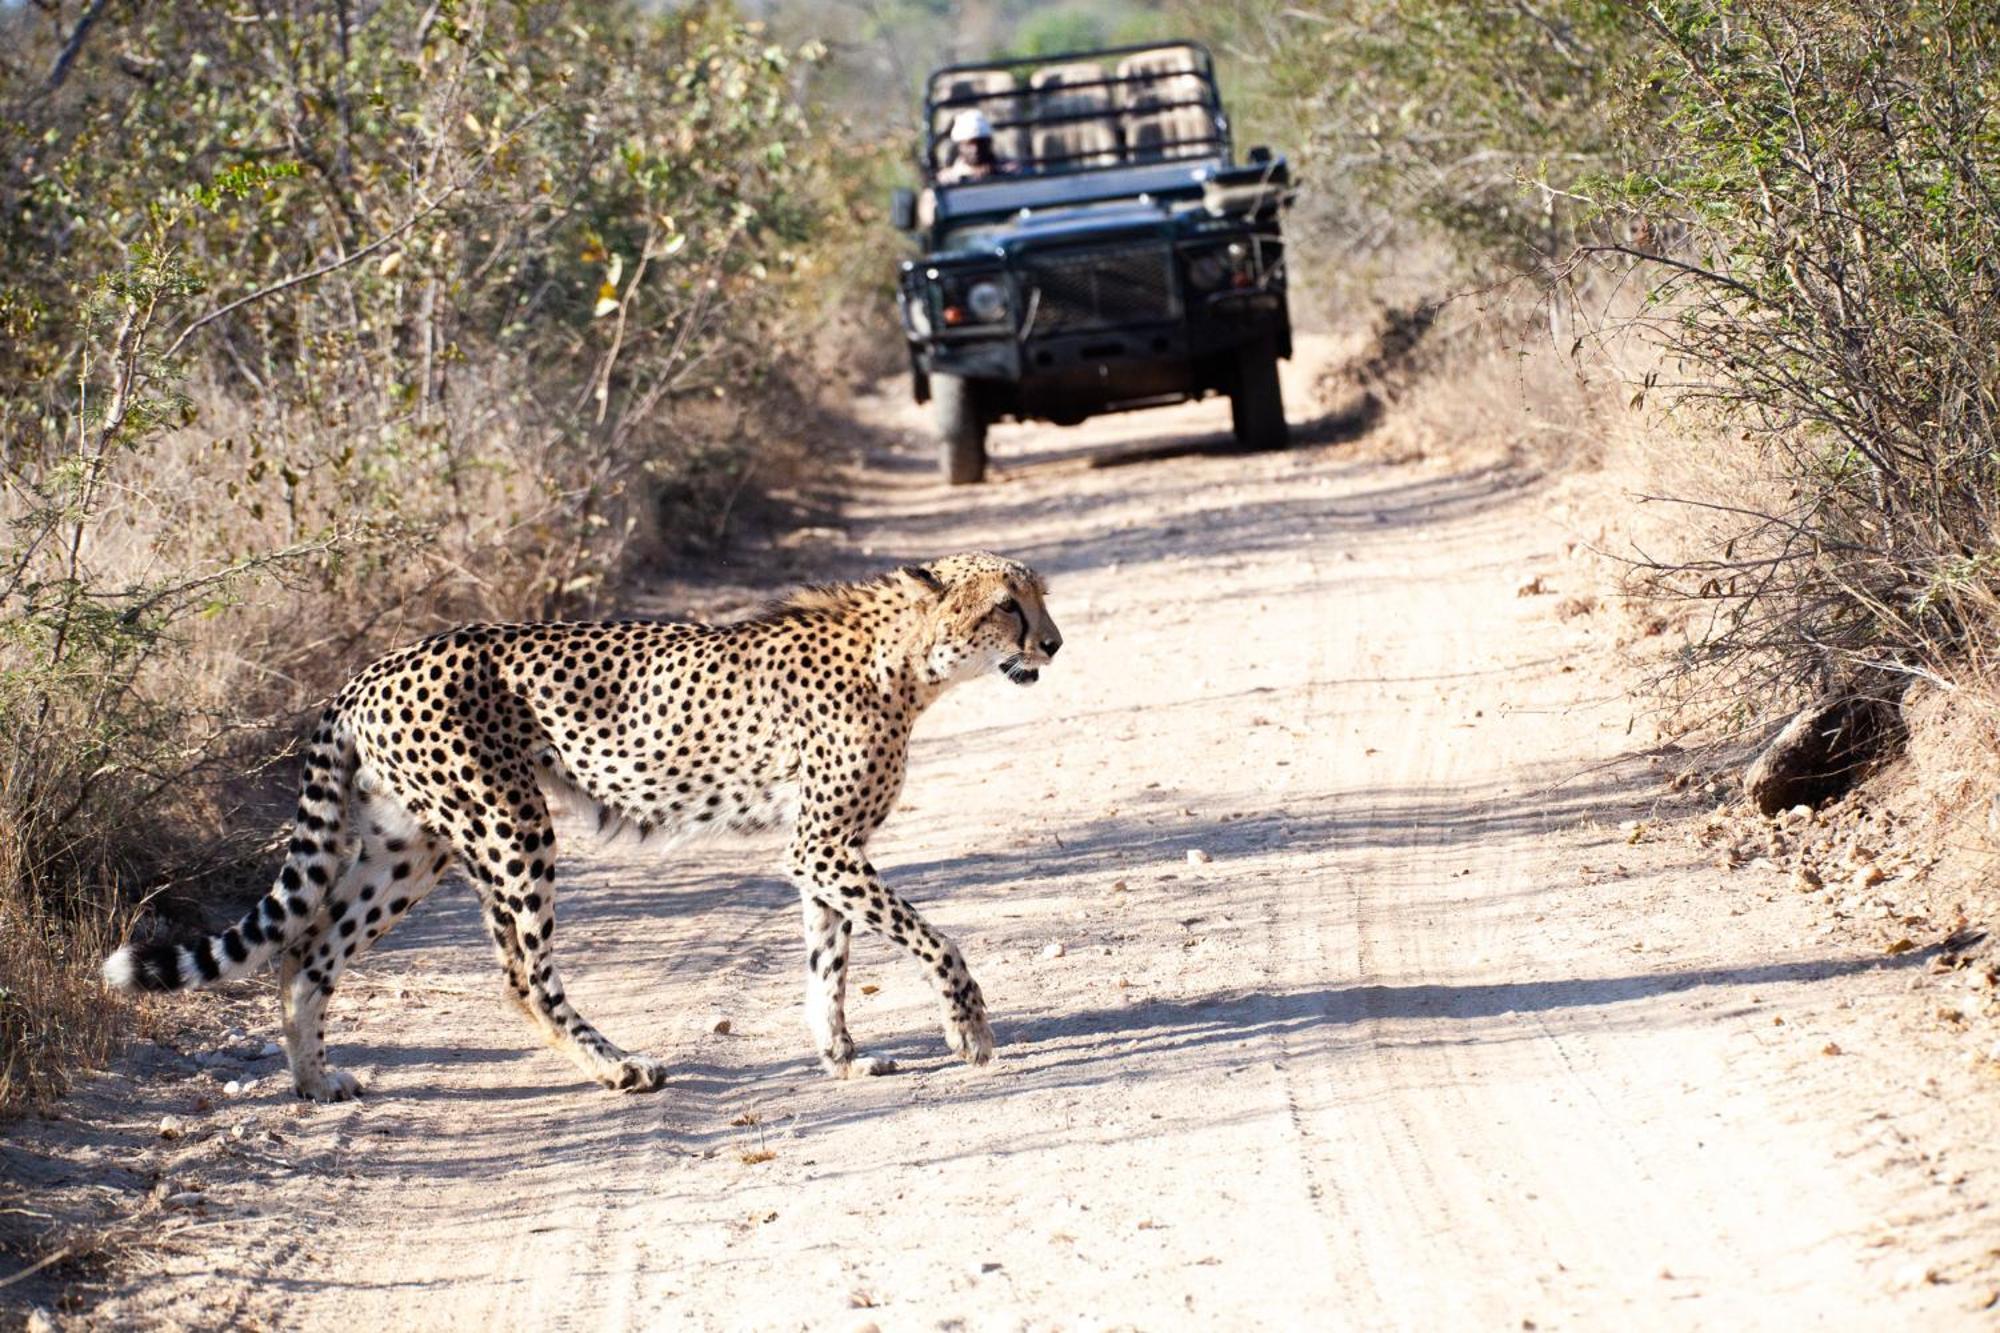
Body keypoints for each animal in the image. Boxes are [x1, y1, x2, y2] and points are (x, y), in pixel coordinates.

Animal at [101, 548, 1064, 1096]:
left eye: (1040, 599)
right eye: (1007, 605)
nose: (1053, 644)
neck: (908, 660)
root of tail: (370, 668)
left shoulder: (825, 854)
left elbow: (828, 965)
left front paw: (844, 1060)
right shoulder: (821, 845)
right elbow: (936, 938)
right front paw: (969, 1029)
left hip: (413, 849)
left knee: (307, 952)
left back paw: (314, 1082)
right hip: (510, 827)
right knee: (524, 978)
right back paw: (619, 1067)